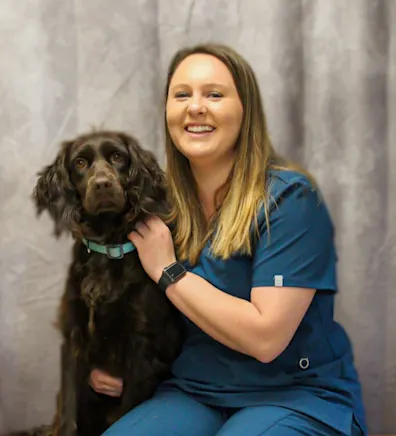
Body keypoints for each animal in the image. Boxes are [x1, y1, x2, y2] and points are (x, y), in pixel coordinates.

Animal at [10, 131, 183, 436]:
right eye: (80, 162)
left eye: (117, 157)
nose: (102, 185)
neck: (108, 249)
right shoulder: (74, 335)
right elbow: (68, 410)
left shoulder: (141, 346)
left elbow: (127, 410)